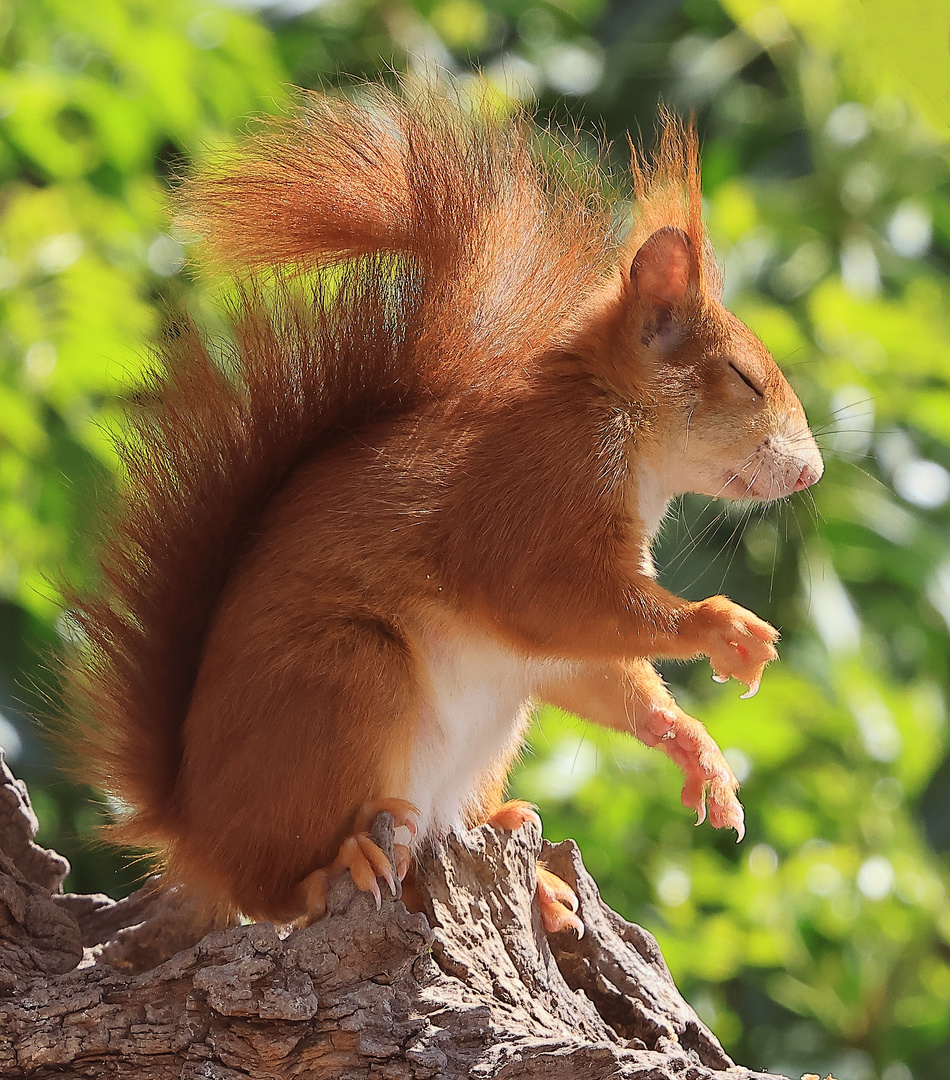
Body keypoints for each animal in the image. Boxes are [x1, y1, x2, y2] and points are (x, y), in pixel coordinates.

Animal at [65, 82, 824, 937]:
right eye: (743, 377)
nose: (812, 471)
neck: (615, 422)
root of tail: (193, 830)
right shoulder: (527, 500)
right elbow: (550, 601)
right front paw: (723, 627)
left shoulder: (555, 632)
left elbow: (593, 669)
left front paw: (695, 748)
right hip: (348, 680)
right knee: (269, 888)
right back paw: (333, 870)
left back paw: (524, 865)